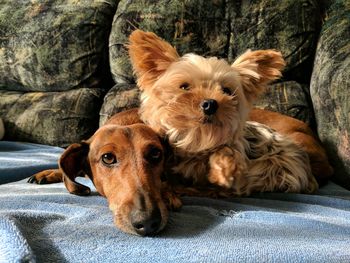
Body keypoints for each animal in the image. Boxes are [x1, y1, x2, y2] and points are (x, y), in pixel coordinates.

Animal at [128, 30, 318, 196]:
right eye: (184, 87)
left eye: (226, 90)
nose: (210, 104)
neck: (197, 138)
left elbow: (227, 151)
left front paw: (223, 172)